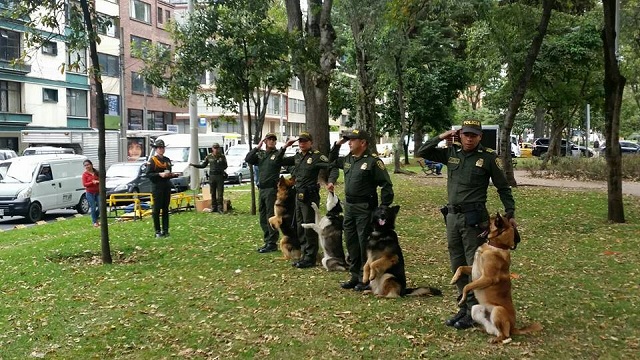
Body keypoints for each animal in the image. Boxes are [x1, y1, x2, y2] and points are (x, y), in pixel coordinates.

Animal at [450, 212, 540, 344]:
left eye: (488, 221)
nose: (473, 224)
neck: (495, 246)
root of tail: (513, 328)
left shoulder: (487, 278)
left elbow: (467, 286)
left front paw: (462, 299)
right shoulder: (473, 269)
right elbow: (461, 267)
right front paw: (454, 278)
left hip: (498, 310)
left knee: (505, 335)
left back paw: (496, 339)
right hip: (475, 310)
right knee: (492, 330)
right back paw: (480, 330)